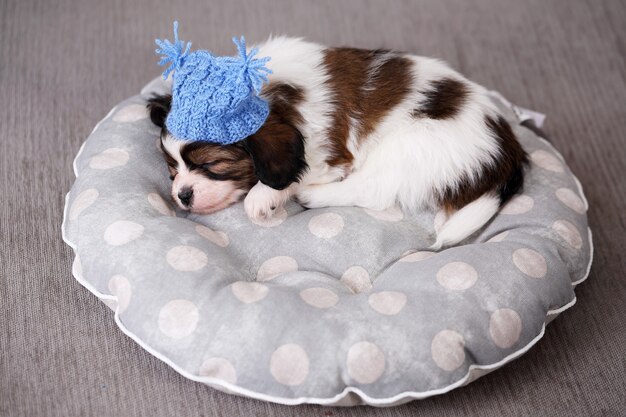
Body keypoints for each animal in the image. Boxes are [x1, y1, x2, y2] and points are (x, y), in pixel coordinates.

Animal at [147, 36, 528, 247]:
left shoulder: (325, 149)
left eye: (211, 164)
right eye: (171, 169)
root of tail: (507, 148)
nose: (182, 195)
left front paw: (263, 197)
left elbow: (293, 173)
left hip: (409, 145)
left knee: (373, 190)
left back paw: (313, 196)